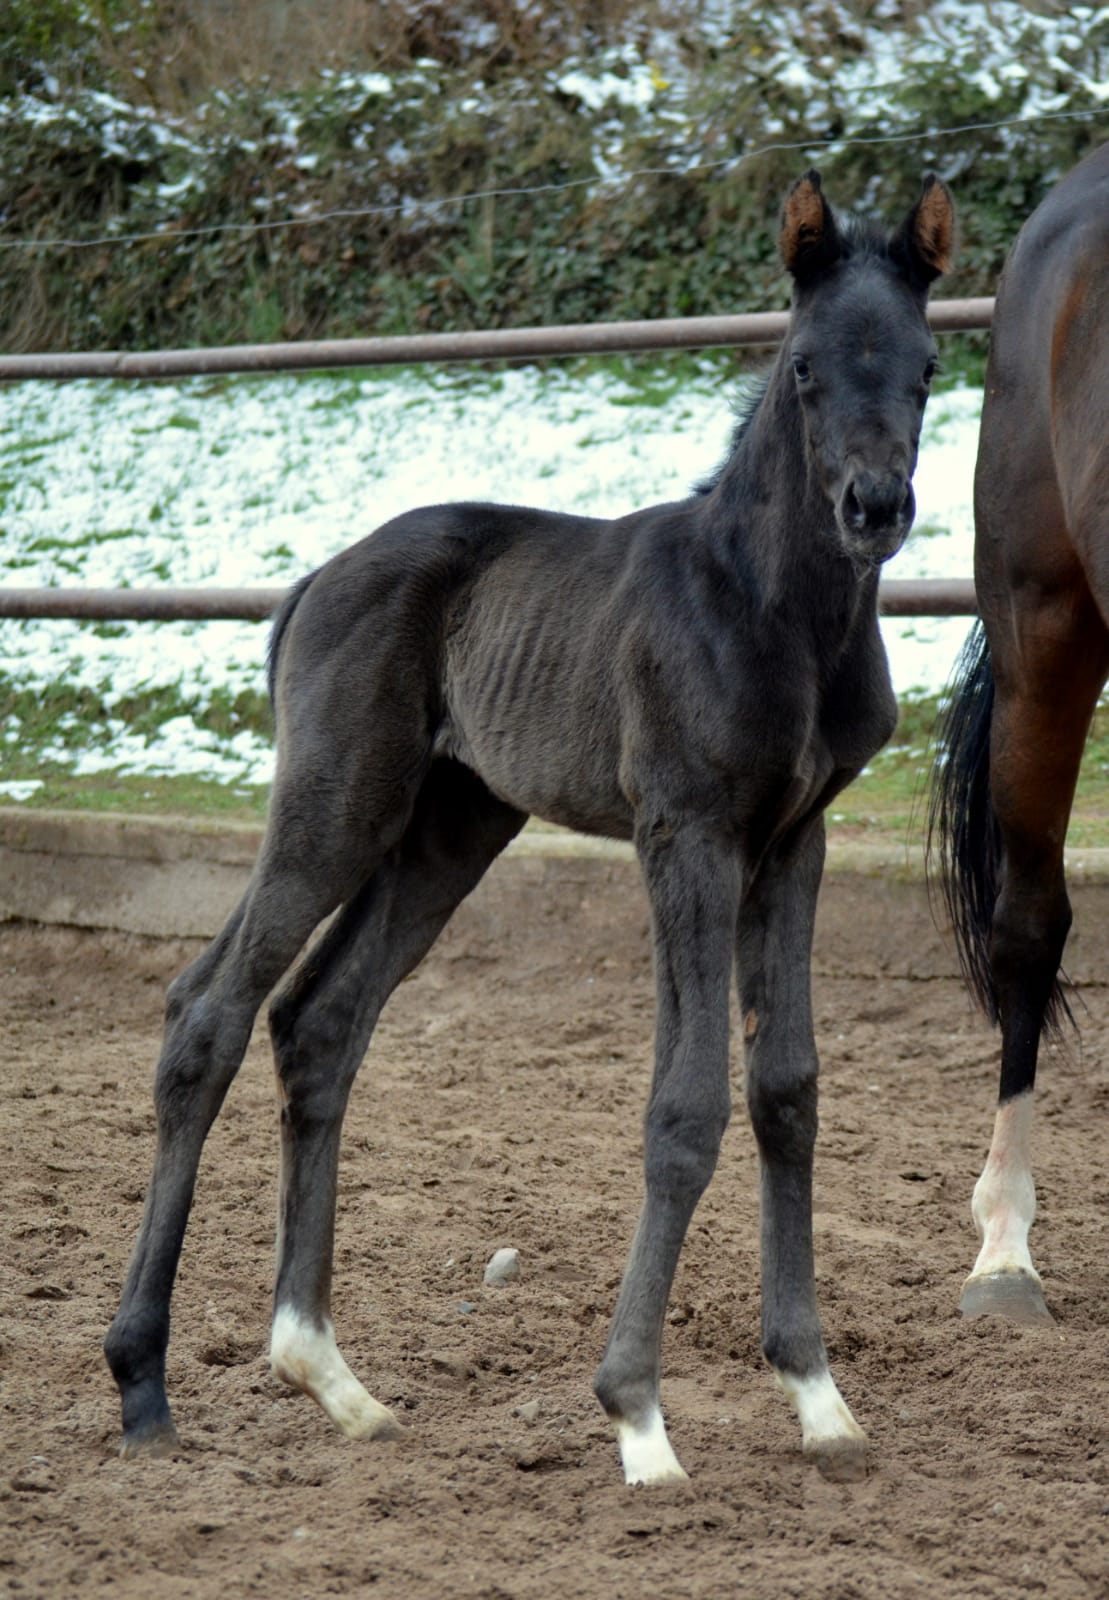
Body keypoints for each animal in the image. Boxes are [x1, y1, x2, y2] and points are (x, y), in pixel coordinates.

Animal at [105, 168, 953, 1478]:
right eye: (805, 364)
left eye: (924, 365)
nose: (874, 505)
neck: (770, 610)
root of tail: (313, 580)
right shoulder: (686, 833)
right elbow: (685, 1103)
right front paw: (636, 1416)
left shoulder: (790, 840)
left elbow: (786, 1089)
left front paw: (817, 1397)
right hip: (337, 805)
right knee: (210, 1010)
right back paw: (143, 1379)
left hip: (449, 826)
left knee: (319, 1021)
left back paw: (328, 1374)